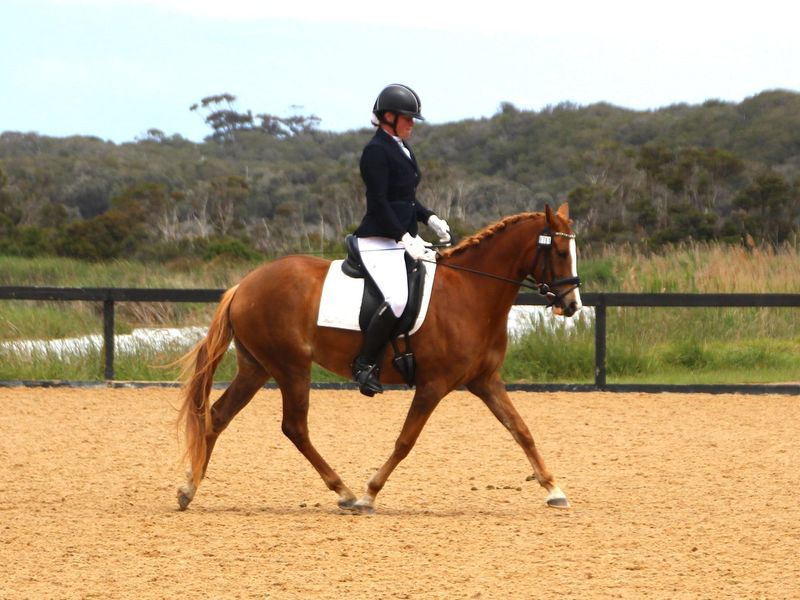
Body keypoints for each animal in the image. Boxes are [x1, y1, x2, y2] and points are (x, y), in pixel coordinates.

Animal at [177, 202, 582, 514]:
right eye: (561, 253)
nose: (573, 305)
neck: (471, 291)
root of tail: (244, 285)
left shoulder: (485, 381)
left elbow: (521, 430)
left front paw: (554, 490)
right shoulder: (433, 385)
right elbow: (405, 441)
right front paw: (370, 494)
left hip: (257, 367)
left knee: (217, 415)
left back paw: (189, 489)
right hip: (291, 367)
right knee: (294, 427)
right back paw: (345, 492)